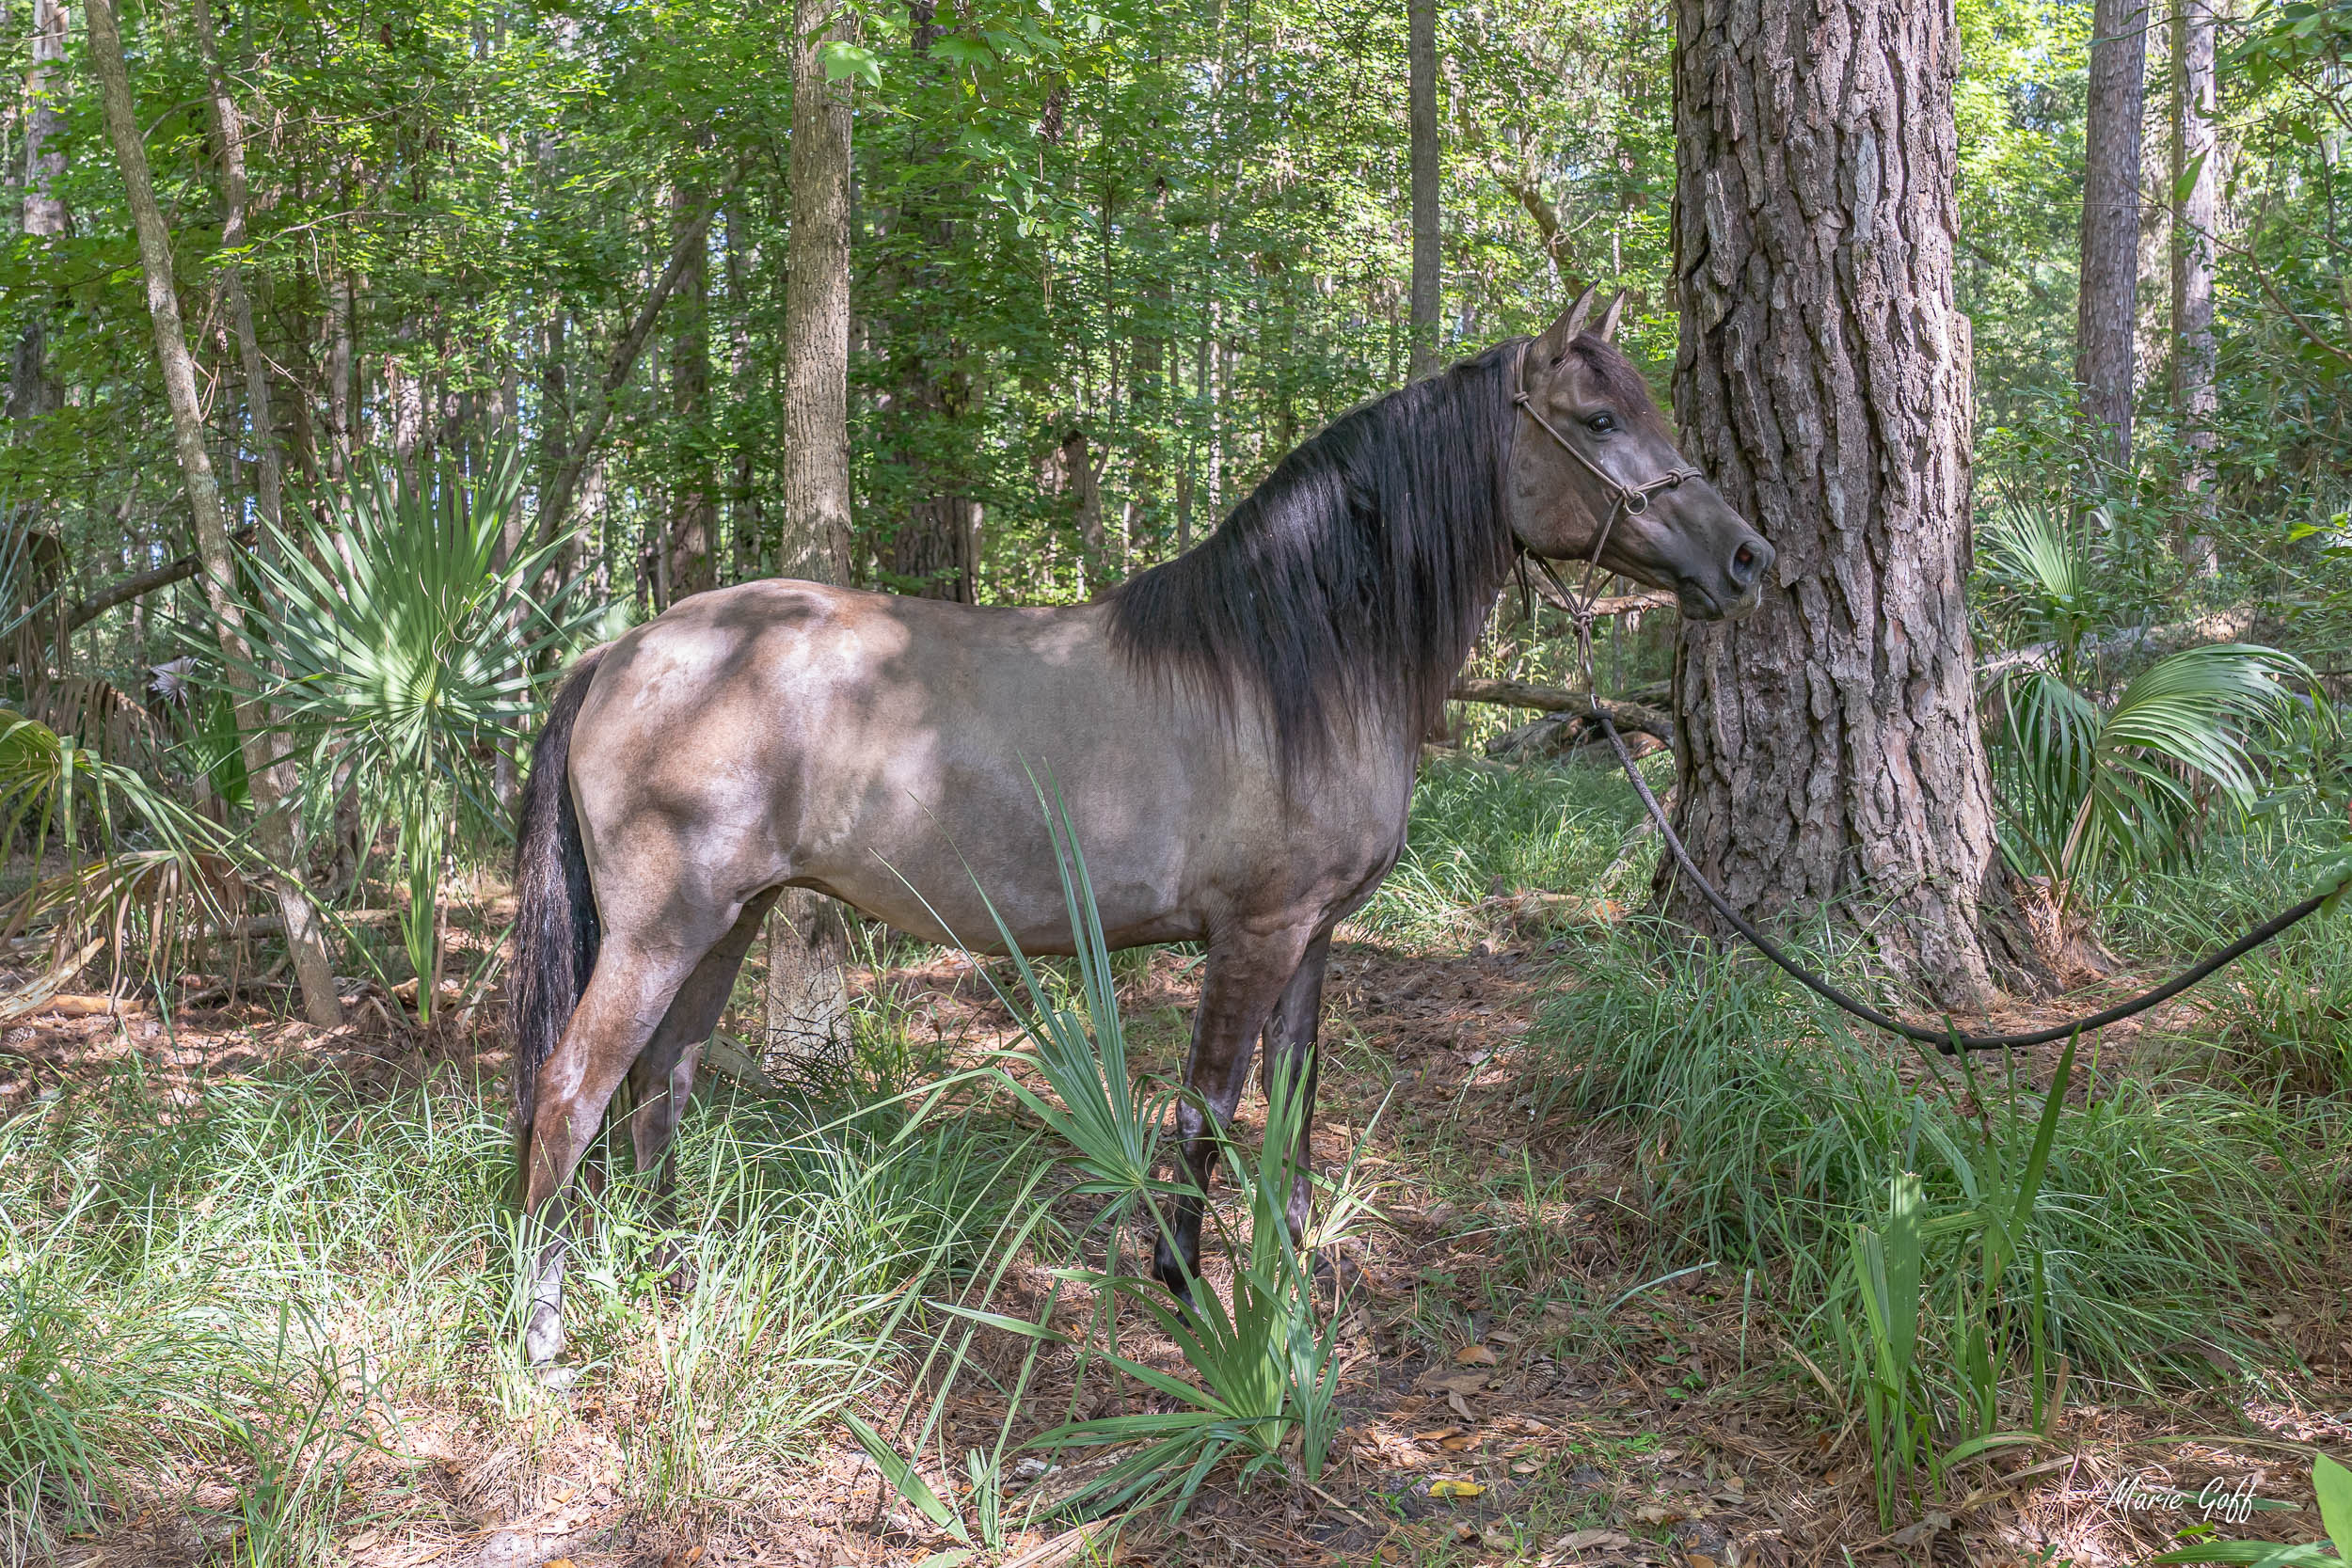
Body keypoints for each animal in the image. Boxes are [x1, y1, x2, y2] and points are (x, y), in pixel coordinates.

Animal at [509, 287, 1773, 1364]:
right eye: (1599, 419)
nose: (1748, 556)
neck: (1289, 659)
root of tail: (619, 648)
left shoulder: (1313, 936)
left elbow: (1294, 1095)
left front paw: (1290, 1278)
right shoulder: (1255, 932)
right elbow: (1207, 1106)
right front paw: (1185, 1290)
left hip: (729, 923)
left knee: (662, 1086)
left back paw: (677, 1280)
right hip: (663, 930)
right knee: (572, 1092)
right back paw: (545, 1337)